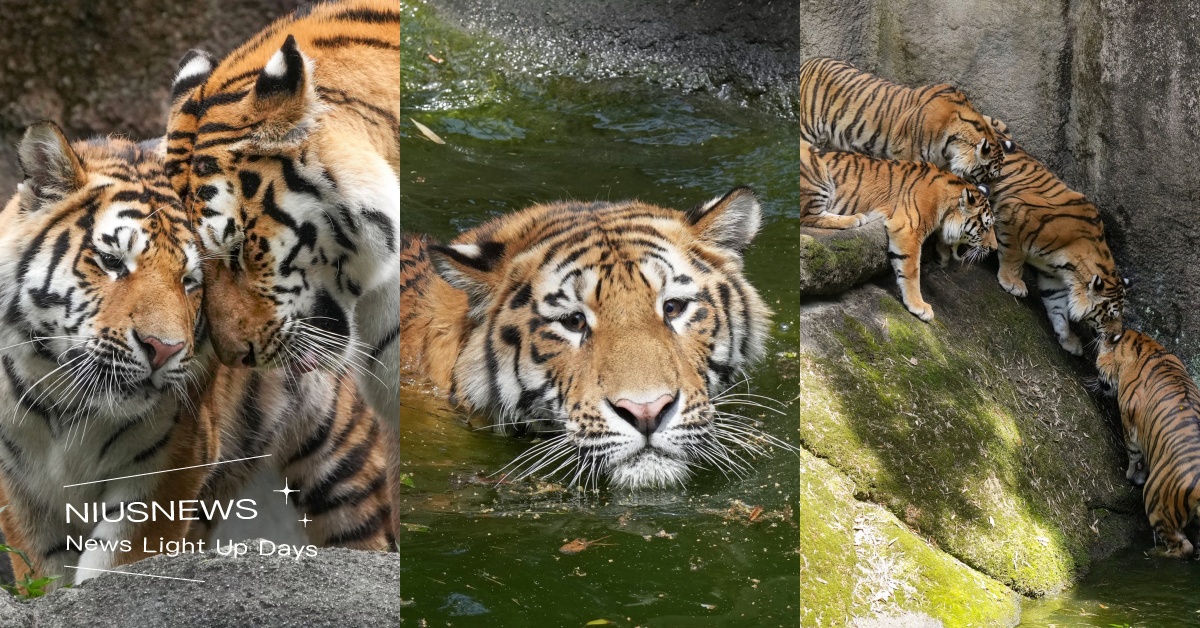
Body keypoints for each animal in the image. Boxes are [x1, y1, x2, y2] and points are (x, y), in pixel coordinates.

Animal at [0, 122, 394, 589]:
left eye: (192, 280)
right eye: (112, 261)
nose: (163, 349)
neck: (67, 404)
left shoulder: (172, 462)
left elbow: (117, 564)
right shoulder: (22, 488)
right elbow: (44, 574)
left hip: (341, 476)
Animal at [799, 57, 1007, 185]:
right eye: (989, 176)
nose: (989, 193)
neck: (950, 147)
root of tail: (809, 61)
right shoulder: (906, 153)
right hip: (806, 129)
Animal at [800, 140, 997, 322]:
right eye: (985, 227)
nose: (994, 249)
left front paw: (942, 254)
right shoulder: (908, 228)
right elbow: (911, 270)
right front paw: (919, 305)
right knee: (808, 216)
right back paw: (854, 218)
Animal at [983, 117, 1127, 356]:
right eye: (1111, 315)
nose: (1116, 337)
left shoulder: (1053, 278)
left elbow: (1058, 309)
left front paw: (1068, 339)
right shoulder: (1017, 212)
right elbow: (1013, 255)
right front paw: (1012, 282)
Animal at [1095, 329, 1200, 558]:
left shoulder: (1128, 418)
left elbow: (1134, 453)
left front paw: (1132, 476)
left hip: (1155, 501)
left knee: (1183, 547)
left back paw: (1156, 552)